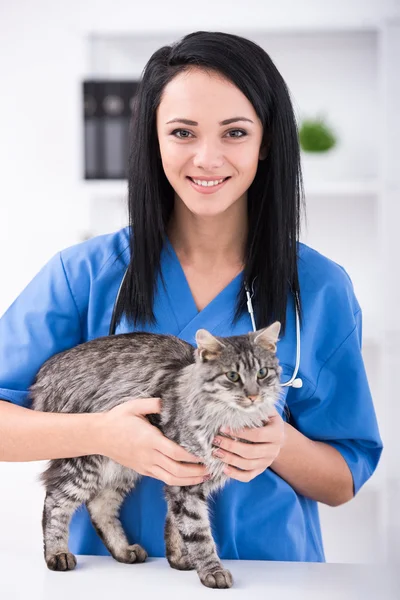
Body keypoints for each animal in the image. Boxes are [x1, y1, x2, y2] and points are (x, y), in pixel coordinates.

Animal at [29, 322, 282, 588]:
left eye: (262, 373)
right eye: (232, 376)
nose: (253, 395)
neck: (230, 421)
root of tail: (50, 366)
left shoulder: (186, 483)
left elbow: (175, 525)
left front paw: (178, 558)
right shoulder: (185, 483)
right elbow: (198, 533)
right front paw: (212, 570)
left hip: (122, 467)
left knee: (99, 506)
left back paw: (124, 551)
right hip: (88, 461)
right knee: (55, 501)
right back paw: (57, 554)